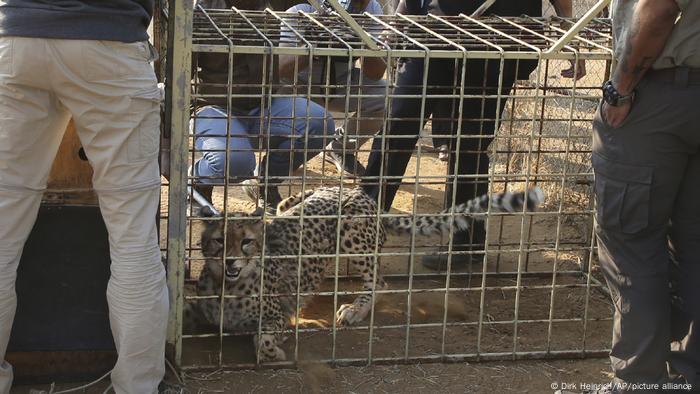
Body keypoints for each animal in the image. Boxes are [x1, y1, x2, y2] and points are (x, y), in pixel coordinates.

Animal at [185, 186, 540, 362]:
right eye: (219, 241)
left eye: (245, 242)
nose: (231, 261)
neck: (228, 286)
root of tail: (363, 195)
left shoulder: (278, 316)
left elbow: (265, 336)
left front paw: (274, 351)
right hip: (299, 202)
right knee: (283, 204)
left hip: (352, 234)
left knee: (379, 281)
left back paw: (355, 309)